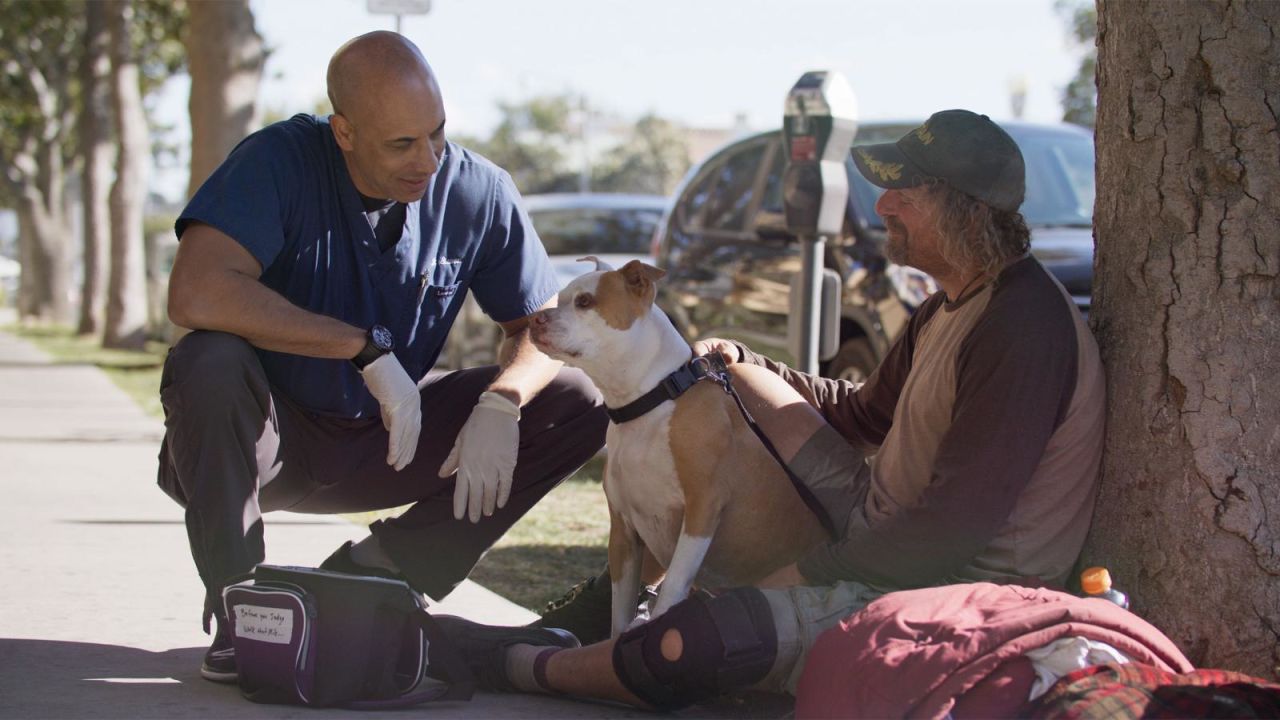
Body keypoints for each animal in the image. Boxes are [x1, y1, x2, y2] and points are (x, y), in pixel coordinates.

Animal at [529, 257, 829, 632]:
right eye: (560, 299)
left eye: (584, 301)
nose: (534, 319)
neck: (652, 399)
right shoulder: (623, 532)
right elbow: (620, 611)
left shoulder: (702, 510)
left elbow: (671, 589)